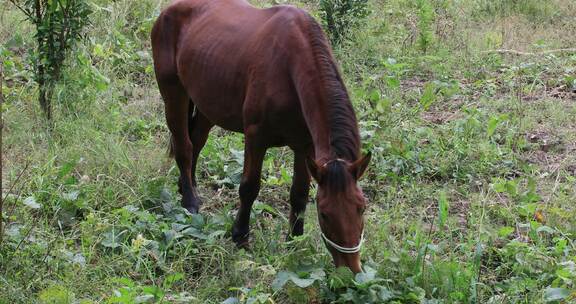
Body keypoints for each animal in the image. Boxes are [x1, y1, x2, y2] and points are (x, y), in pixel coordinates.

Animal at [151, 0, 372, 274]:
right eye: (324, 213)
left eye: (361, 207)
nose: (351, 270)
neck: (290, 67)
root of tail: (168, 11)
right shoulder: (255, 138)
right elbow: (249, 187)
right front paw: (240, 235)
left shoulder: (305, 146)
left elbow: (299, 193)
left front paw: (294, 240)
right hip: (174, 95)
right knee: (184, 147)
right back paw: (190, 202)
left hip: (206, 104)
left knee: (196, 142)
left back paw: (187, 186)